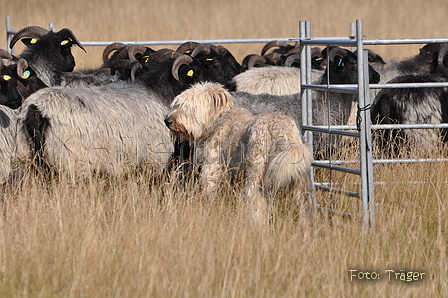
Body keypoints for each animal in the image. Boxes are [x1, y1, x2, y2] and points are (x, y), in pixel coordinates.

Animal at [164, 82, 312, 224]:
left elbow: (209, 189)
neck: (218, 120)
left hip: (255, 171)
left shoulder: (212, 167)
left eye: (189, 108)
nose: (167, 121)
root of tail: (281, 131)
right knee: (304, 202)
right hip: (298, 175)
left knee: (255, 199)